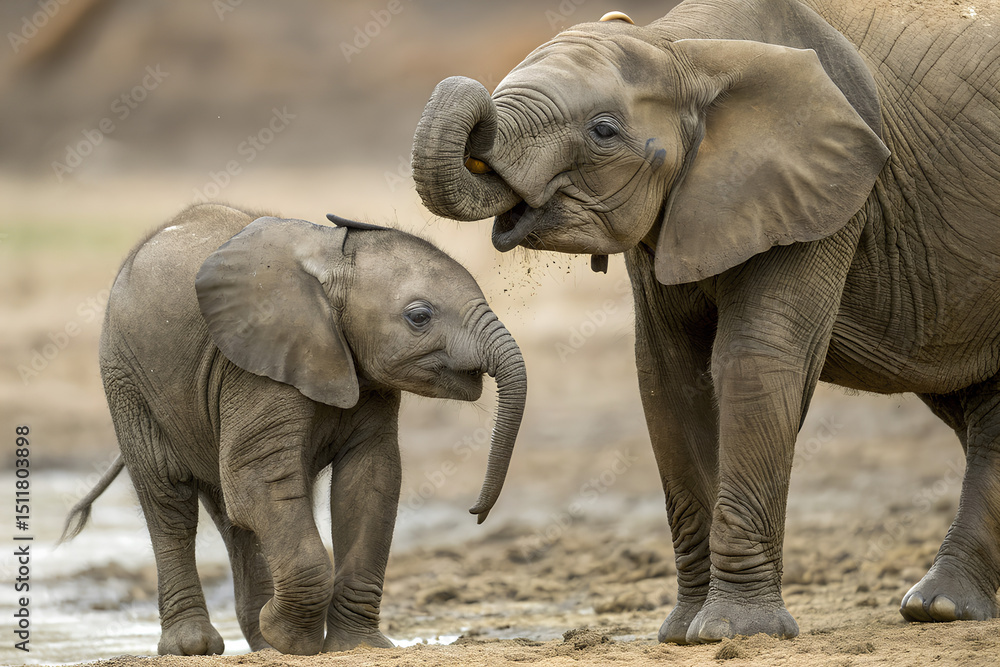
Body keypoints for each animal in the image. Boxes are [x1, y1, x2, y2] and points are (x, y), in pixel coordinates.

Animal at [61, 203, 526, 655]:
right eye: (419, 317)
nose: (476, 512)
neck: (330, 261)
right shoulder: (254, 365)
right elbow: (257, 477)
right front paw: (293, 642)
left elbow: (369, 481)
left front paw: (353, 645)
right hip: (126, 378)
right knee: (170, 499)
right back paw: (194, 646)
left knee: (235, 519)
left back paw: (261, 643)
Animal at [411, 0, 1000, 645]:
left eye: (603, 131)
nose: (475, 512)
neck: (683, 50)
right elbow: (668, 376)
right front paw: (680, 633)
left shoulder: (828, 194)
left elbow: (756, 359)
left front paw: (732, 633)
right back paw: (942, 607)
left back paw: (936, 608)